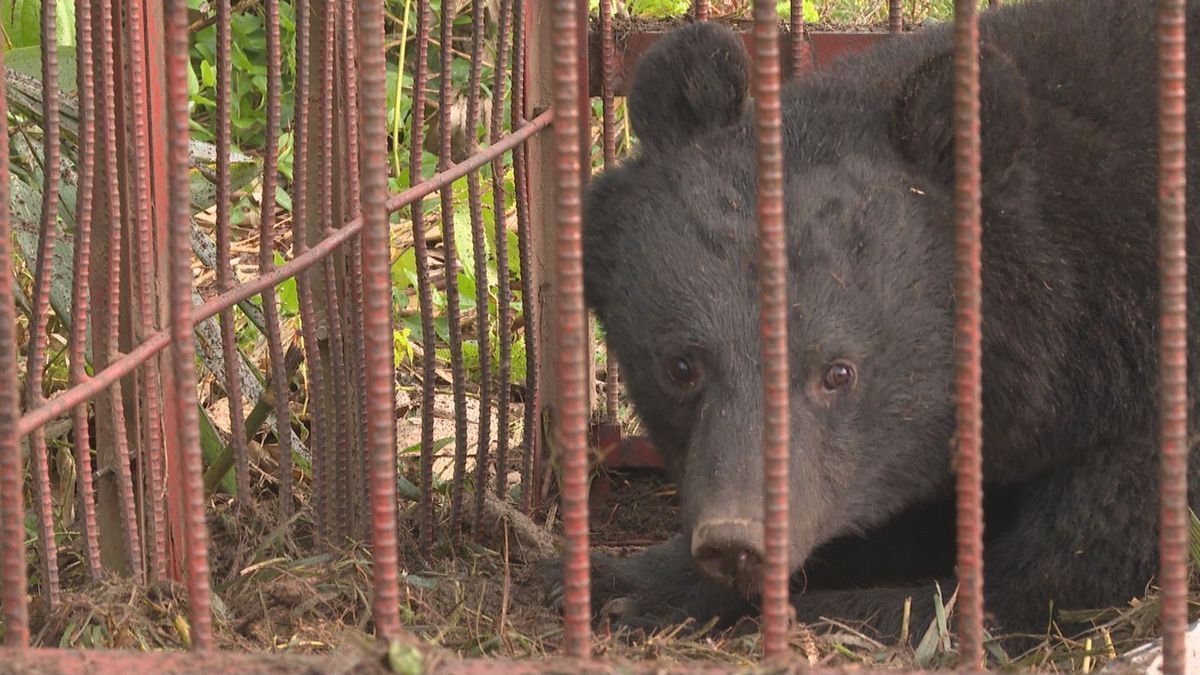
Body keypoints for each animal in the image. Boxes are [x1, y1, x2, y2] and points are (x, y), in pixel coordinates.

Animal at [549, 0, 1200, 648]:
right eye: (682, 366)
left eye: (838, 373)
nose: (735, 542)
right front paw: (623, 581)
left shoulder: (1152, 395)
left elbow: (1076, 563)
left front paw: (827, 611)